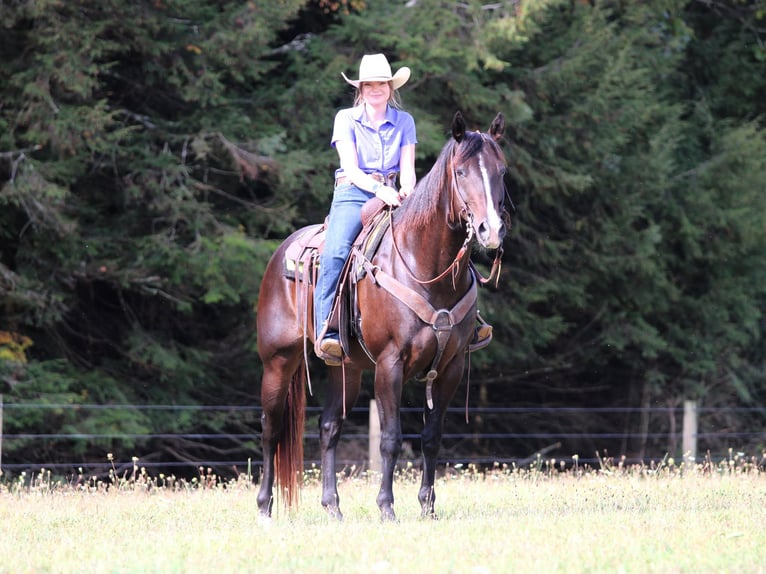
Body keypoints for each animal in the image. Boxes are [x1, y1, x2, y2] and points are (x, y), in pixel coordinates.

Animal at [255, 111, 508, 521]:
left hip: (346, 368)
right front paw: (387, 507)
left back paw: (333, 507)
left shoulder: (451, 367)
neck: (423, 265)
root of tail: (283, 252)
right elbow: (390, 438)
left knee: (329, 427)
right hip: (278, 361)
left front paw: (427, 507)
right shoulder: (391, 364)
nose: (492, 230)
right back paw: (264, 508)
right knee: (271, 429)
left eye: (502, 170)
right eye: (461, 172)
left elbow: (431, 438)